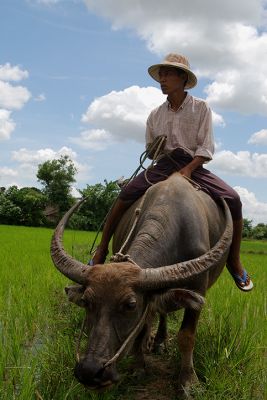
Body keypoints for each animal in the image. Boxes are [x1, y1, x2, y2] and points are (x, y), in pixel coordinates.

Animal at [50, 172, 234, 396]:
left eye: (130, 305)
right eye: (86, 301)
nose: (90, 371)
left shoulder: (198, 290)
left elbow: (186, 337)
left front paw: (189, 382)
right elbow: (140, 330)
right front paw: (139, 367)